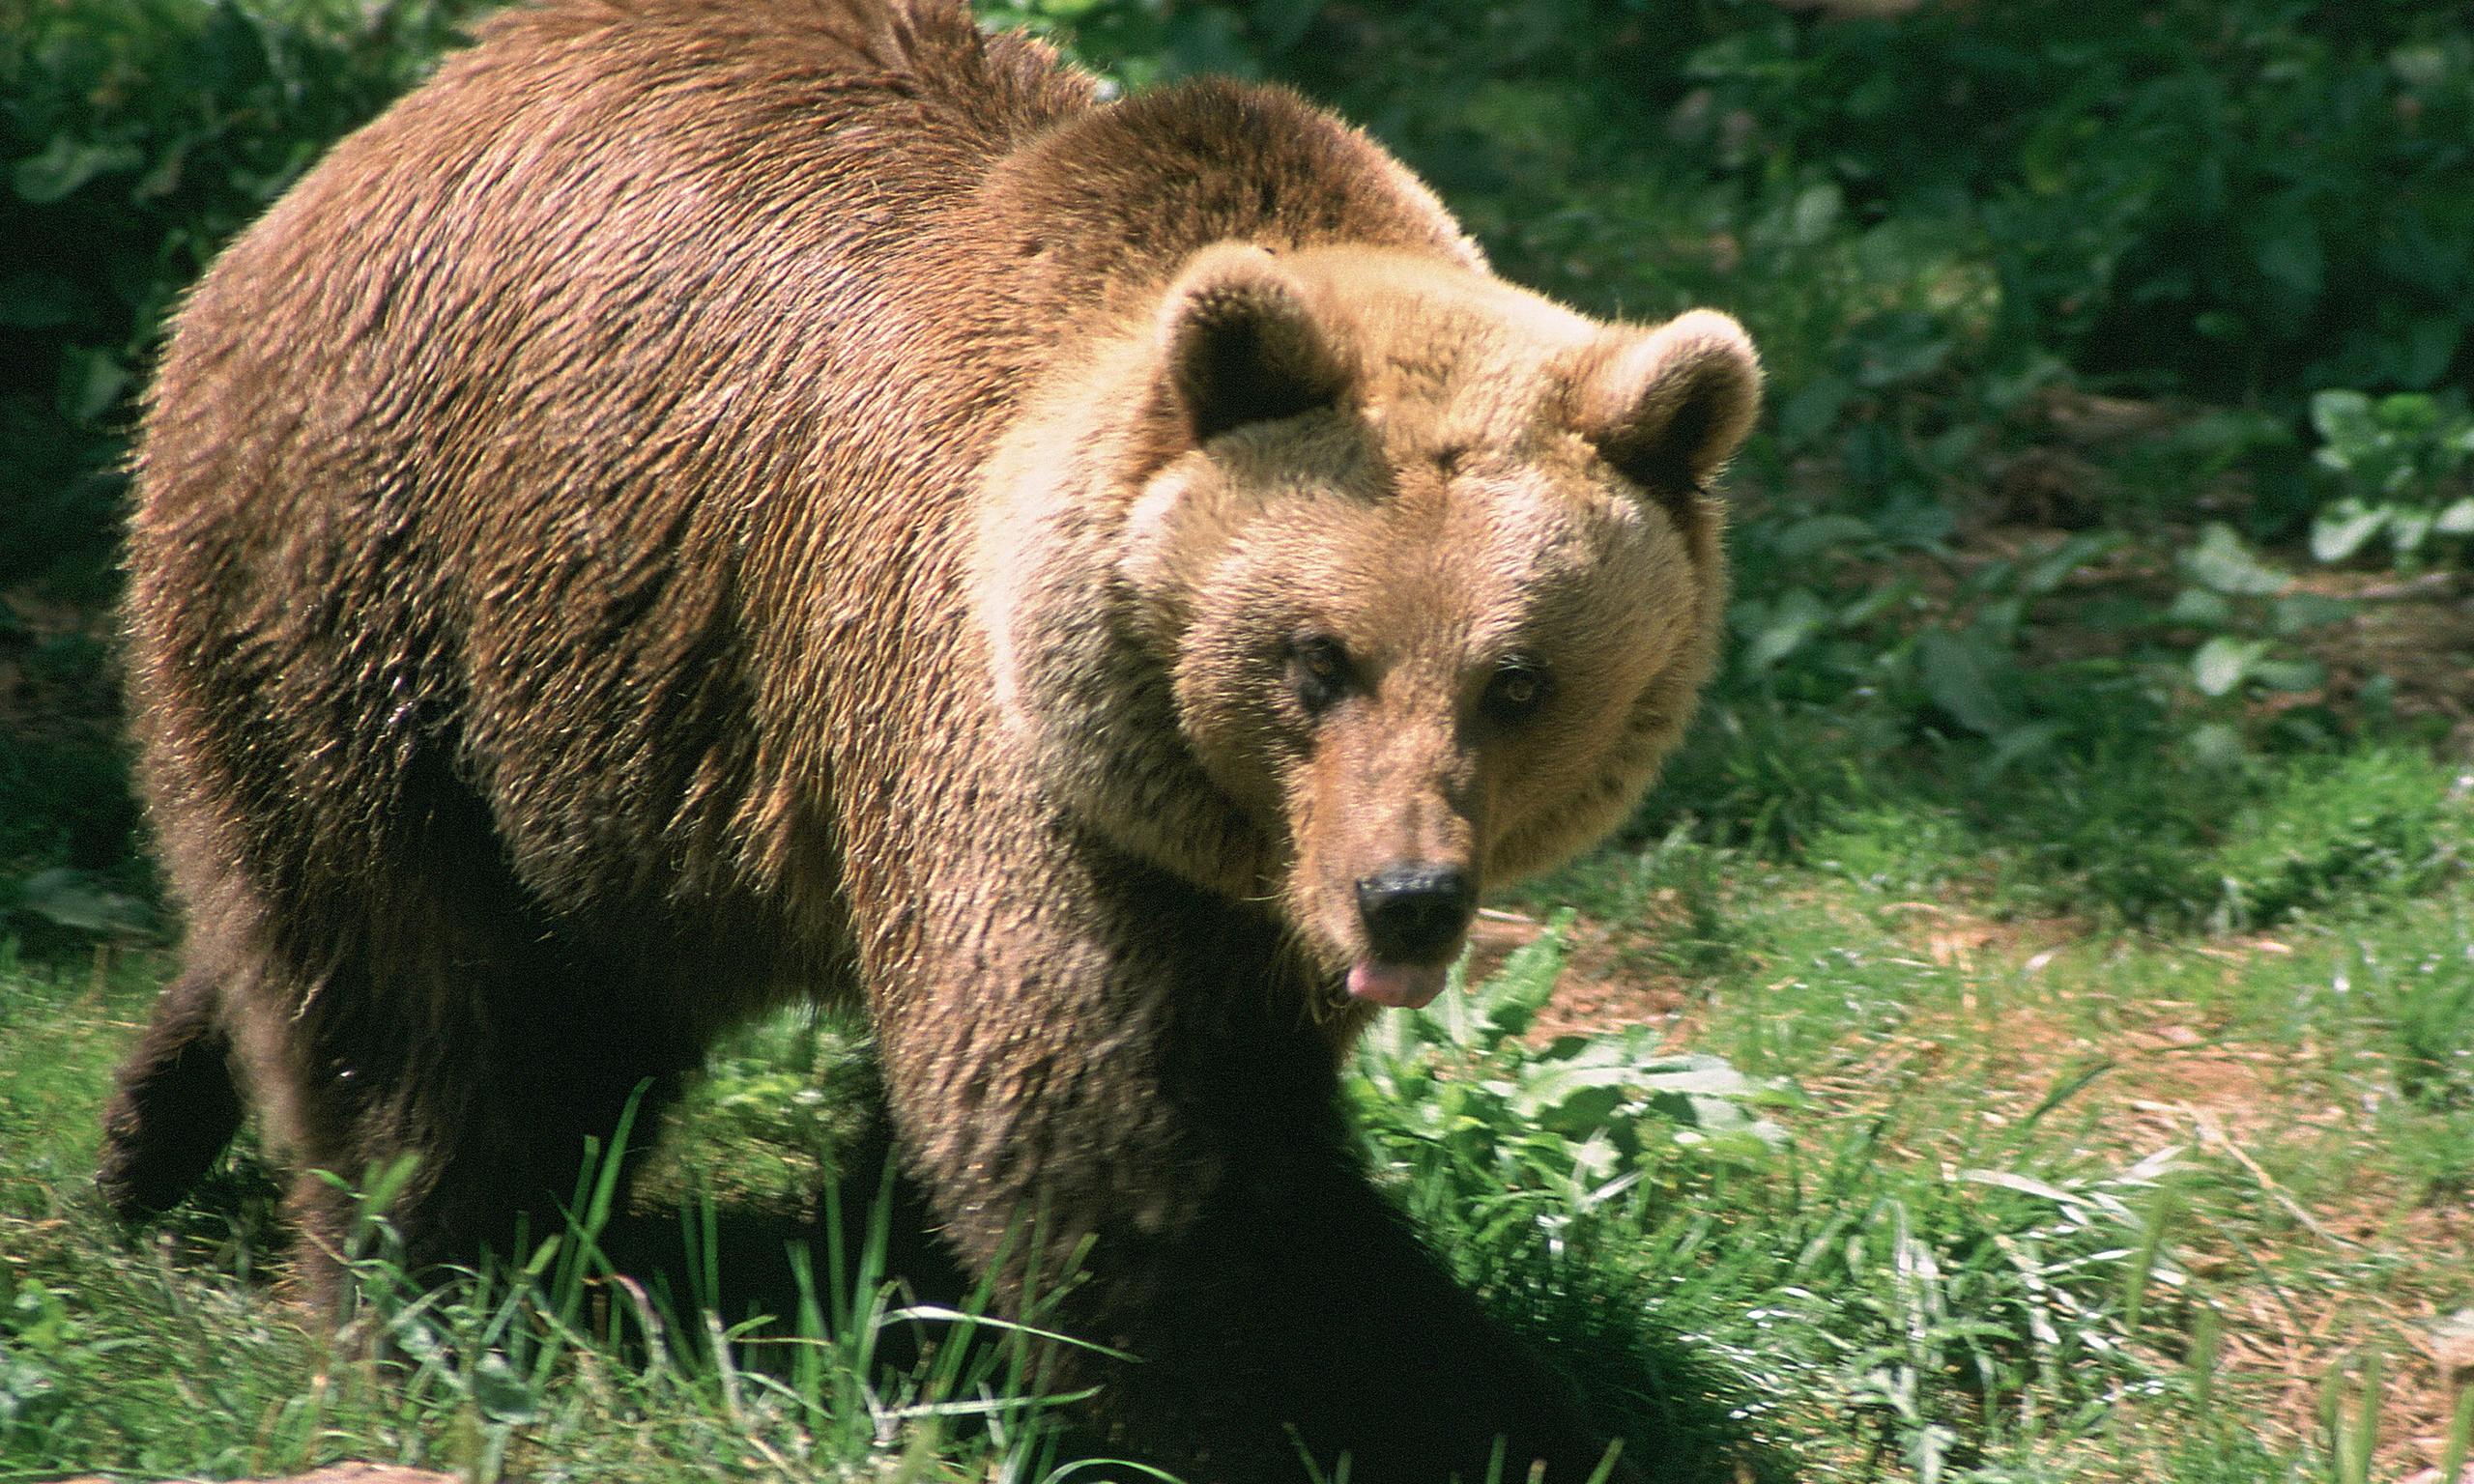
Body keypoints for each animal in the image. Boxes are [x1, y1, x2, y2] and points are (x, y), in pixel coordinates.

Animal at [96, 3, 1761, 1484]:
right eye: (1316, 658)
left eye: (1520, 682)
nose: (1404, 897)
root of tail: (362, 148)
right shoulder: (991, 749)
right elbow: (1130, 1148)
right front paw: (1485, 1415)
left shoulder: (1209, 887)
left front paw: (910, 1300)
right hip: (401, 580)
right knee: (428, 994)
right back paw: (431, 1303)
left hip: (614, 730)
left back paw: (151, 1122)